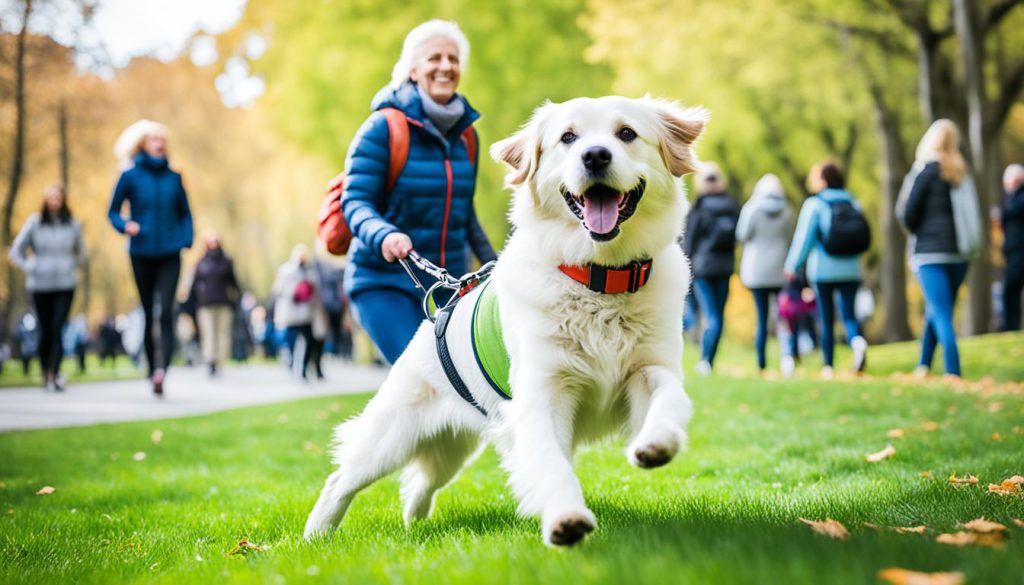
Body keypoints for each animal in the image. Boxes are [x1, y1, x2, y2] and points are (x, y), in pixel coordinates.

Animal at [303, 97, 704, 549]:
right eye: (568, 137)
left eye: (627, 134)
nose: (596, 156)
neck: (597, 278)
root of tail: (434, 316)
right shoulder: (542, 393)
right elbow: (550, 464)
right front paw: (566, 520)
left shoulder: (648, 368)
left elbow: (670, 398)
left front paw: (657, 442)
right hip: (391, 437)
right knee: (342, 478)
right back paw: (314, 537)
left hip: (454, 448)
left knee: (421, 482)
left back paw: (415, 522)